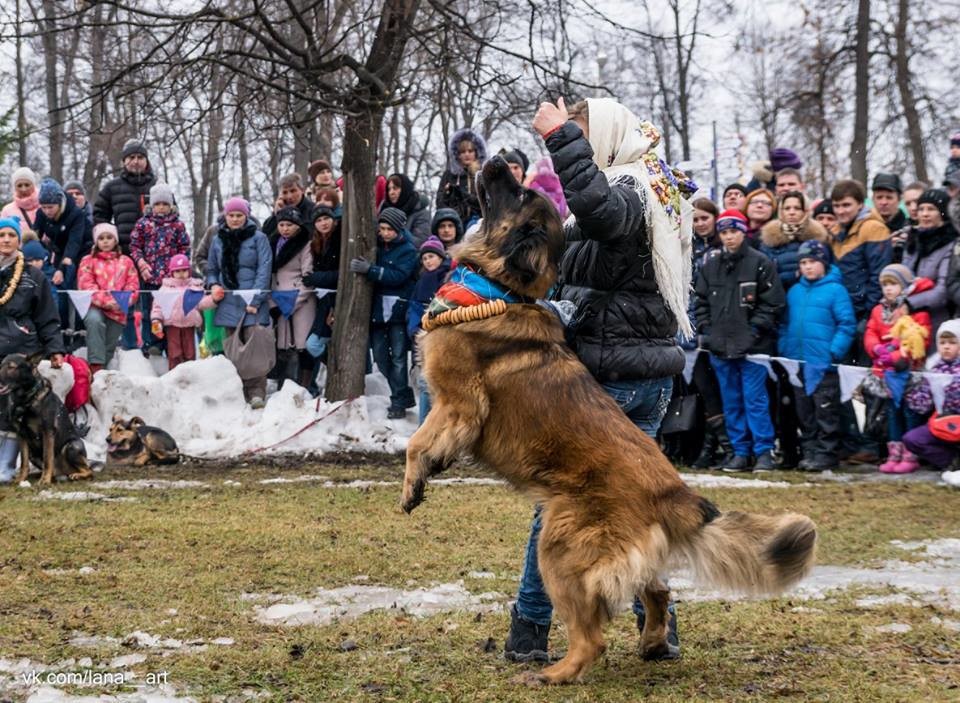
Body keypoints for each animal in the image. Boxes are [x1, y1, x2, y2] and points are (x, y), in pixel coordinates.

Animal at [0, 354, 93, 486]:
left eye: (11, 367)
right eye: (0, 365)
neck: (26, 400)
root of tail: (64, 471)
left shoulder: (47, 432)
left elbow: (48, 458)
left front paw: (44, 480)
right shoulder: (21, 435)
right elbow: (24, 462)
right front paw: (21, 479)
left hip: (71, 447)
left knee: (89, 470)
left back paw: (76, 475)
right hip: (33, 455)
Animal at [400, 157, 816, 684]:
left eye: (518, 192)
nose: (496, 161)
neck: (501, 290)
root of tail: (674, 493)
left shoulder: (457, 405)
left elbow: (416, 443)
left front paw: (413, 486)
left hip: (558, 545)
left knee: (593, 636)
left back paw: (554, 672)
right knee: (657, 591)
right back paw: (655, 641)